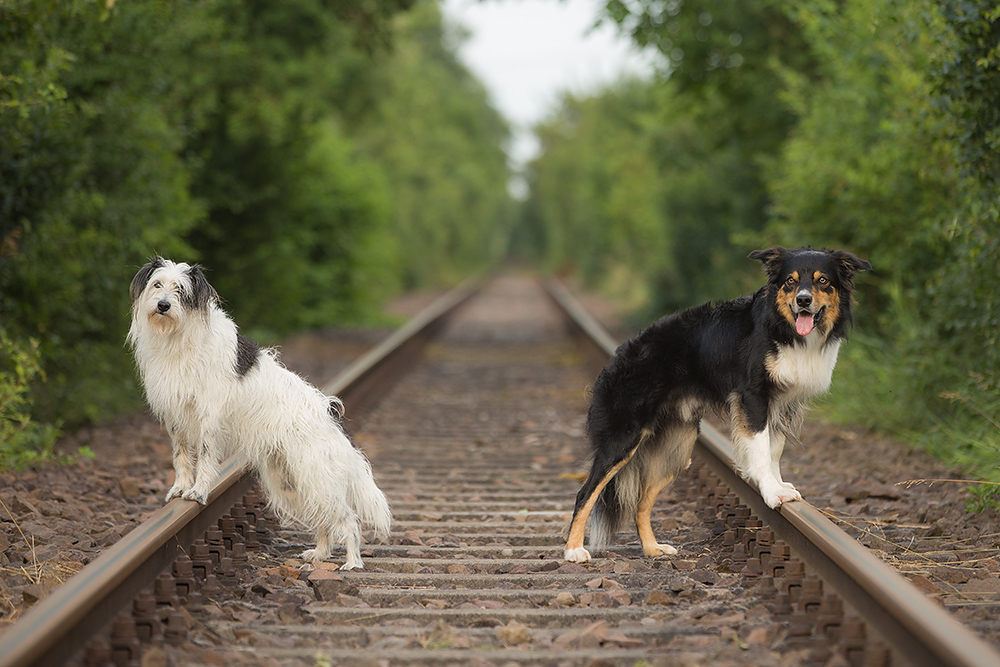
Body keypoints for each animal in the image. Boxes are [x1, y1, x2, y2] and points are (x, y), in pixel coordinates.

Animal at [132, 258, 394, 572]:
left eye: (180, 290)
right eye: (157, 284)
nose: (162, 305)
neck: (178, 338)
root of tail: (335, 421)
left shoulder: (208, 416)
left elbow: (205, 458)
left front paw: (198, 491)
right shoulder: (176, 416)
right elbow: (181, 456)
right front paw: (180, 488)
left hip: (316, 479)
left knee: (348, 520)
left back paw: (352, 563)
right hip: (291, 483)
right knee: (324, 520)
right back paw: (319, 554)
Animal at [568, 247, 872, 564]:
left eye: (823, 280)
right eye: (790, 280)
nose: (803, 300)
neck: (783, 329)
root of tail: (617, 358)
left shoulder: (782, 403)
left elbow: (774, 449)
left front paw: (779, 485)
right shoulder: (753, 396)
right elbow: (760, 448)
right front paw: (771, 491)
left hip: (678, 447)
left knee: (642, 499)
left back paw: (653, 548)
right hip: (624, 438)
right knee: (585, 493)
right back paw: (574, 551)